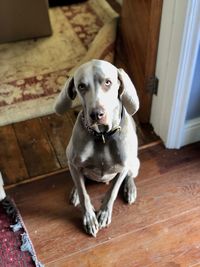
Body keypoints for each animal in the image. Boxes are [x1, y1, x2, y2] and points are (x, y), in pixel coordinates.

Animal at [54, 59, 140, 238]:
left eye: (108, 82)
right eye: (81, 86)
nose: (96, 114)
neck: (102, 137)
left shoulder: (122, 167)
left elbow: (112, 191)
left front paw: (104, 214)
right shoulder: (73, 161)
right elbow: (83, 193)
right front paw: (89, 218)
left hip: (135, 161)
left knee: (130, 175)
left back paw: (130, 189)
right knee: (79, 180)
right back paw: (75, 192)